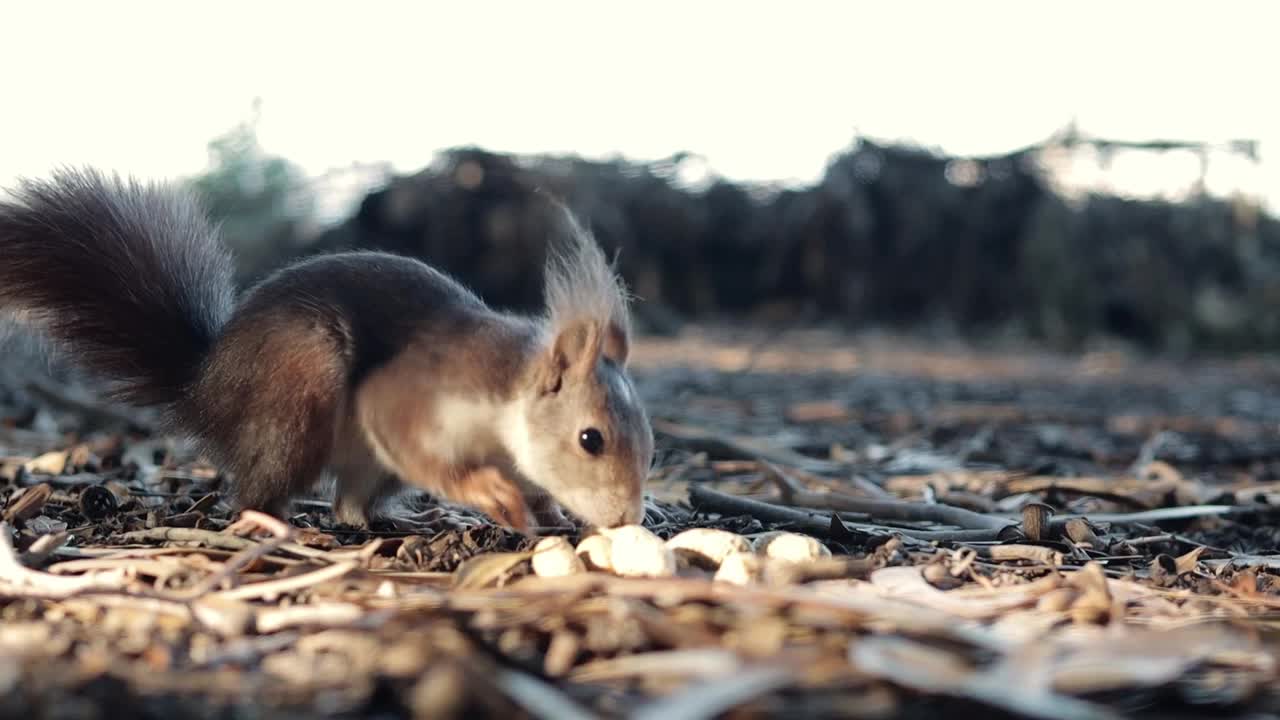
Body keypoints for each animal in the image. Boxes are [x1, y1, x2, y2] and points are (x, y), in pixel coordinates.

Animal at [0, 165, 655, 530]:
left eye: (649, 443)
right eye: (591, 439)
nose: (627, 517)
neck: (507, 419)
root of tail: (204, 388)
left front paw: (547, 513)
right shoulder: (419, 393)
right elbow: (415, 438)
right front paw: (487, 492)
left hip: (365, 463)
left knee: (351, 504)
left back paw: (401, 519)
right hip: (301, 387)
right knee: (257, 492)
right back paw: (272, 524)